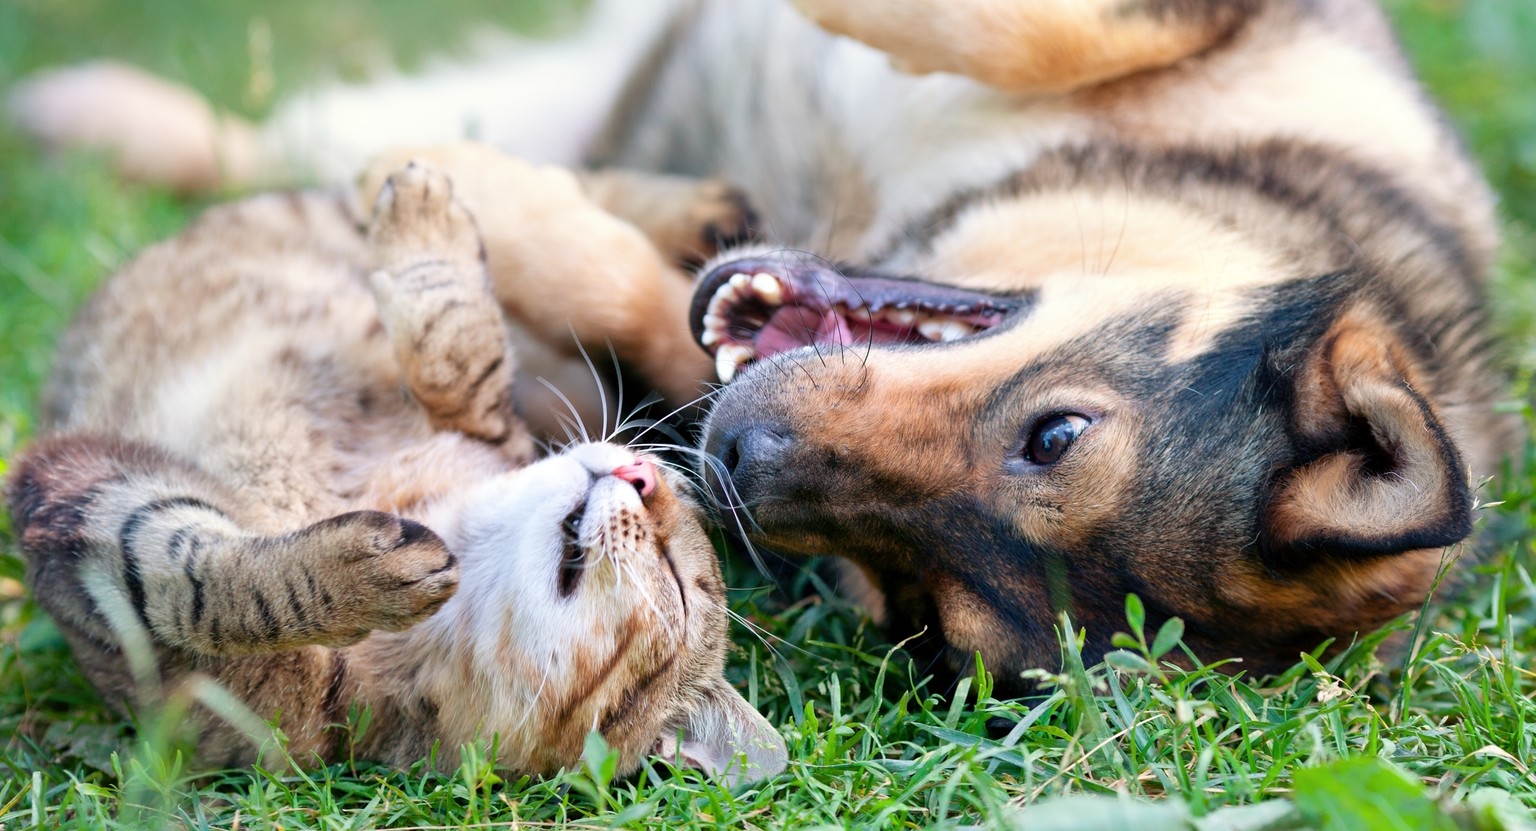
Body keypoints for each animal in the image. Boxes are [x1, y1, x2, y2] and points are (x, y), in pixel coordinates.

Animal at [9, 0, 1523, 688]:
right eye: (1058, 429)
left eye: (925, 607)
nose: (735, 460)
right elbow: (1050, 25)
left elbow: (620, 286)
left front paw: (494, 206)